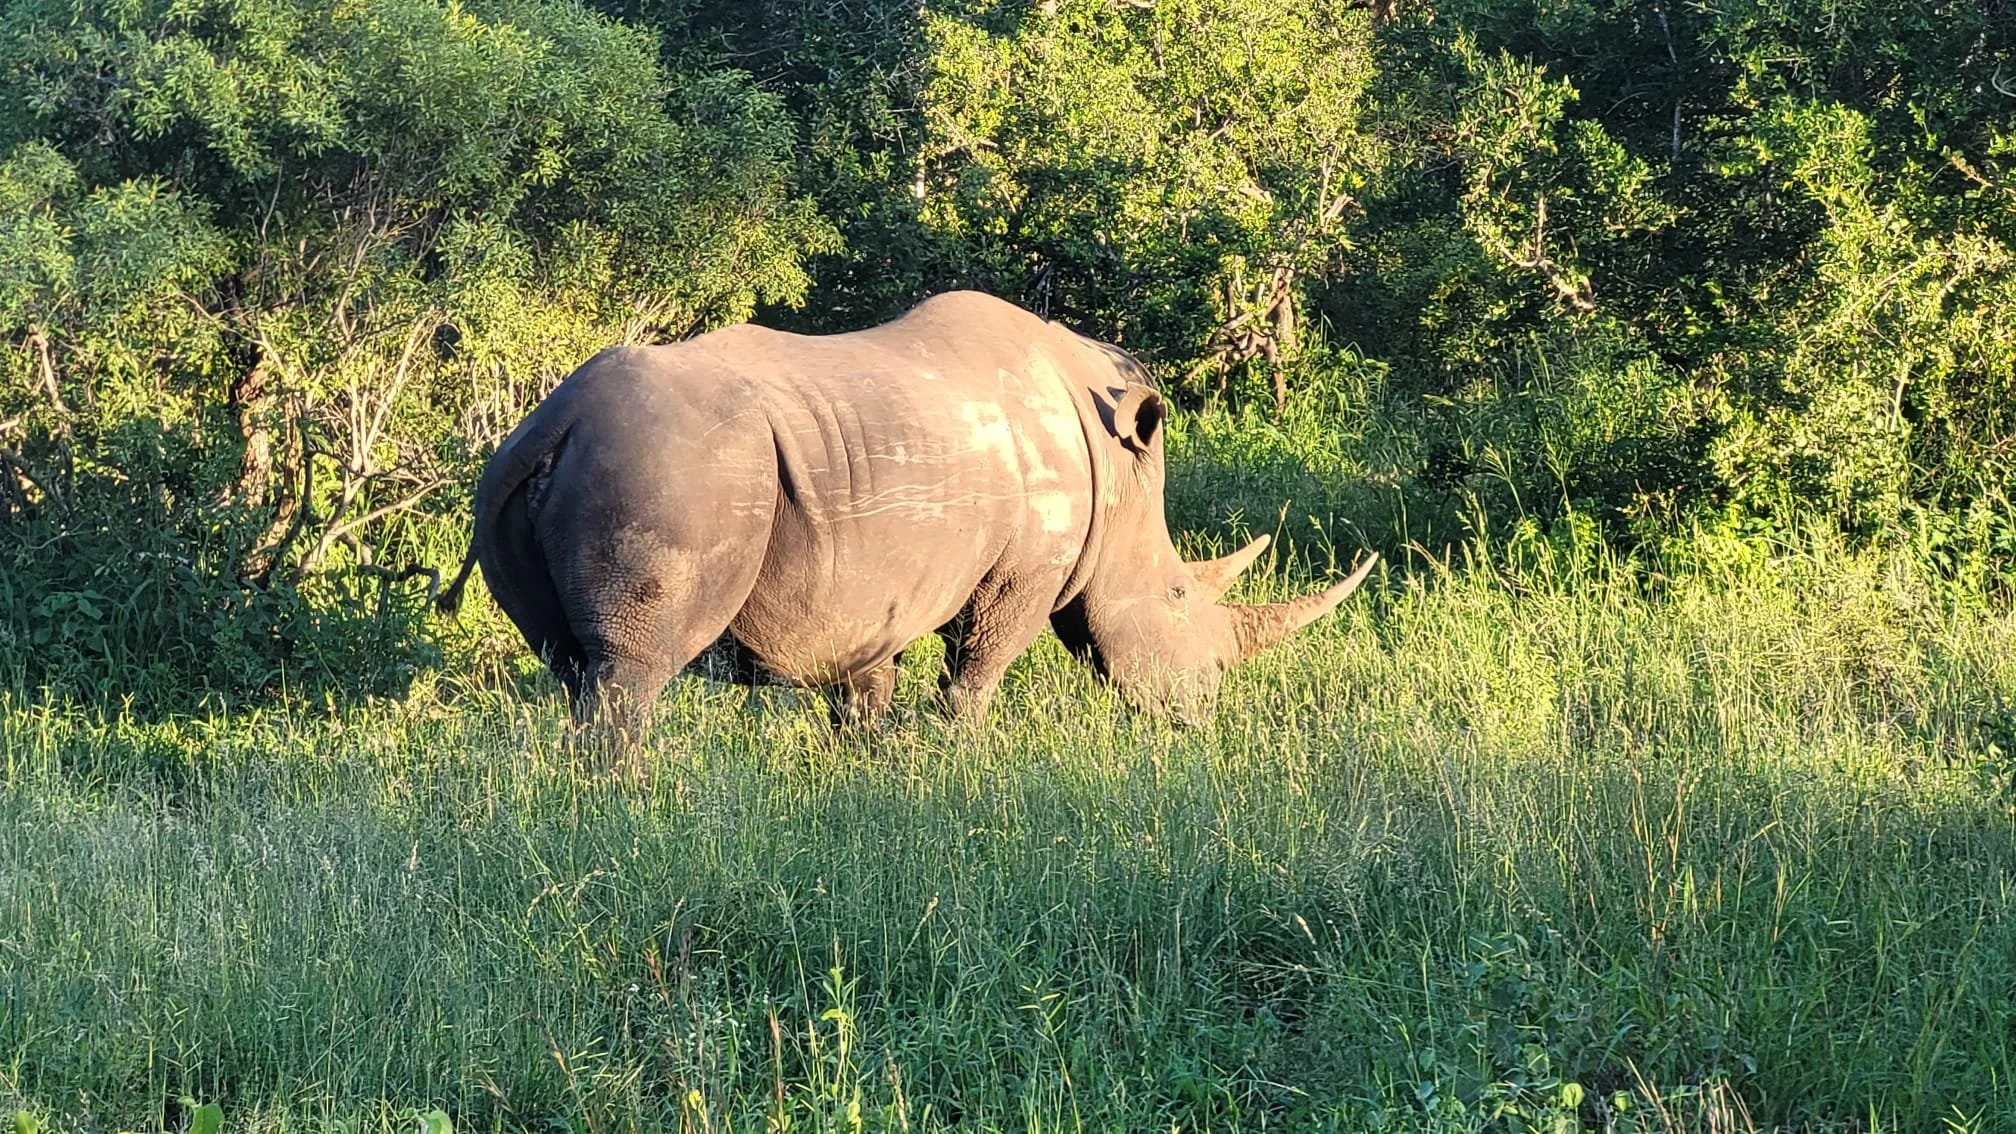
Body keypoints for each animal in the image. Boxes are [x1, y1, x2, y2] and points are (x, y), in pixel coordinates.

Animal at [437, 291, 1375, 743]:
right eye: (1180, 597)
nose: (1201, 711)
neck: (1113, 468)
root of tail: (556, 420)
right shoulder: (1024, 570)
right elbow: (978, 671)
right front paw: (959, 762)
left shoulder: (868, 586)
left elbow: (866, 692)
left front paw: (870, 774)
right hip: (668, 469)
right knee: (628, 674)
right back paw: (631, 812)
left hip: (524, 481)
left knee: (569, 665)